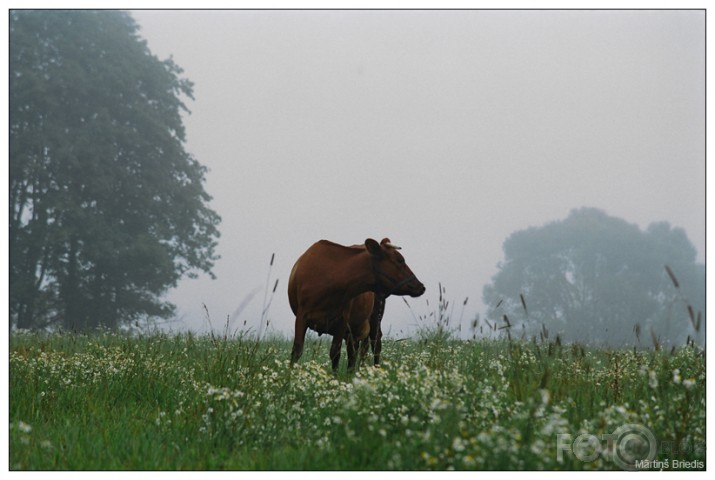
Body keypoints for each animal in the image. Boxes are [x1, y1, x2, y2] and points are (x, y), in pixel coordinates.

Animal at [290, 238, 426, 370]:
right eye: (400, 260)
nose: (421, 286)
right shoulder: (302, 316)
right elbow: (296, 350)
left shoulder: (342, 321)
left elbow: (335, 353)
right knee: (355, 352)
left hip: (375, 318)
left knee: (375, 345)